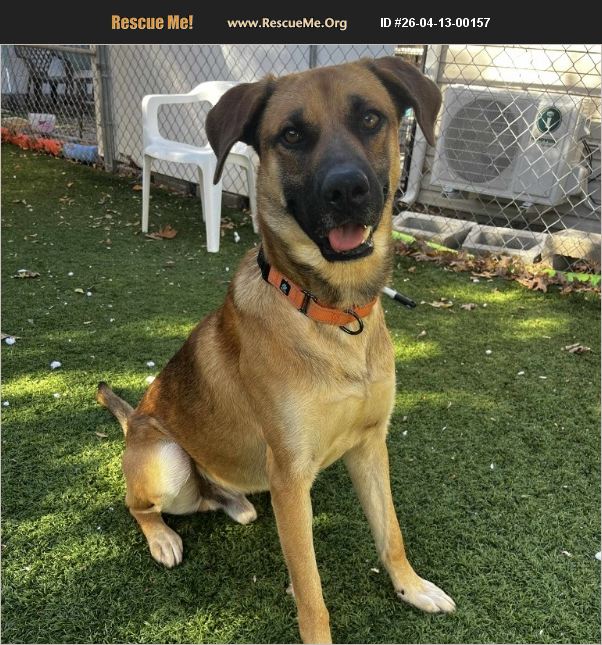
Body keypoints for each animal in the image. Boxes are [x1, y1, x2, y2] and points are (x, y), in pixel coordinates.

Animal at [96, 56, 454, 643]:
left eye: (371, 119)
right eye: (291, 135)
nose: (347, 189)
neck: (335, 315)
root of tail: (134, 423)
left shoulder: (369, 446)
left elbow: (391, 532)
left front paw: (411, 587)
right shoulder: (290, 476)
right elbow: (311, 592)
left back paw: (235, 502)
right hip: (168, 463)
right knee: (136, 505)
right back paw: (163, 536)